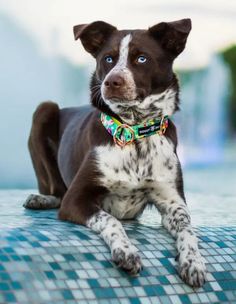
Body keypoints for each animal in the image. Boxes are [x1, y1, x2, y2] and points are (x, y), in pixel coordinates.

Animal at [24, 18, 206, 288]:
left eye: (141, 58)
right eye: (108, 59)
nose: (112, 81)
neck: (134, 133)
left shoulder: (173, 202)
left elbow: (188, 229)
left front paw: (193, 261)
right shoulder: (76, 200)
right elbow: (111, 220)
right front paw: (126, 251)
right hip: (44, 110)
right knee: (56, 191)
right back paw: (40, 199)